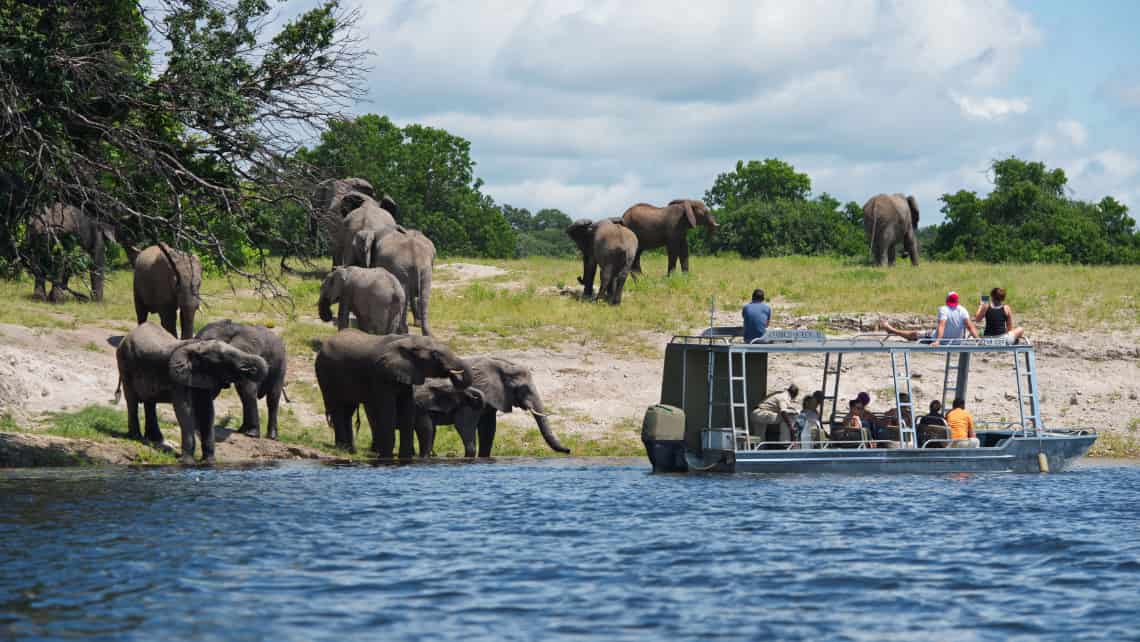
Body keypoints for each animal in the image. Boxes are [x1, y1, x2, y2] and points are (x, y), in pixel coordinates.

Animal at [115, 323, 269, 465]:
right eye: (223, 359)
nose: (249, 369)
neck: (197, 346)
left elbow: (207, 412)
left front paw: (209, 463)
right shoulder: (178, 379)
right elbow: (185, 411)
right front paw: (187, 463)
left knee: (149, 402)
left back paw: (155, 439)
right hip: (124, 363)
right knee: (132, 401)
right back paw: (136, 437)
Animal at [312, 330, 471, 456]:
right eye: (435, 355)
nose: (454, 374)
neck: (407, 342)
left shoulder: (407, 374)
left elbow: (407, 408)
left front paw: (405, 458)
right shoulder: (382, 375)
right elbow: (388, 410)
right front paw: (386, 457)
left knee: (347, 411)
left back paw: (350, 451)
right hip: (325, 374)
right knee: (338, 409)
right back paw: (342, 449)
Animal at [414, 355, 570, 456]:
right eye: (524, 388)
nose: (569, 451)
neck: (501, 365)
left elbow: (488, 428)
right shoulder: (472, 396)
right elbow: (465, 425)